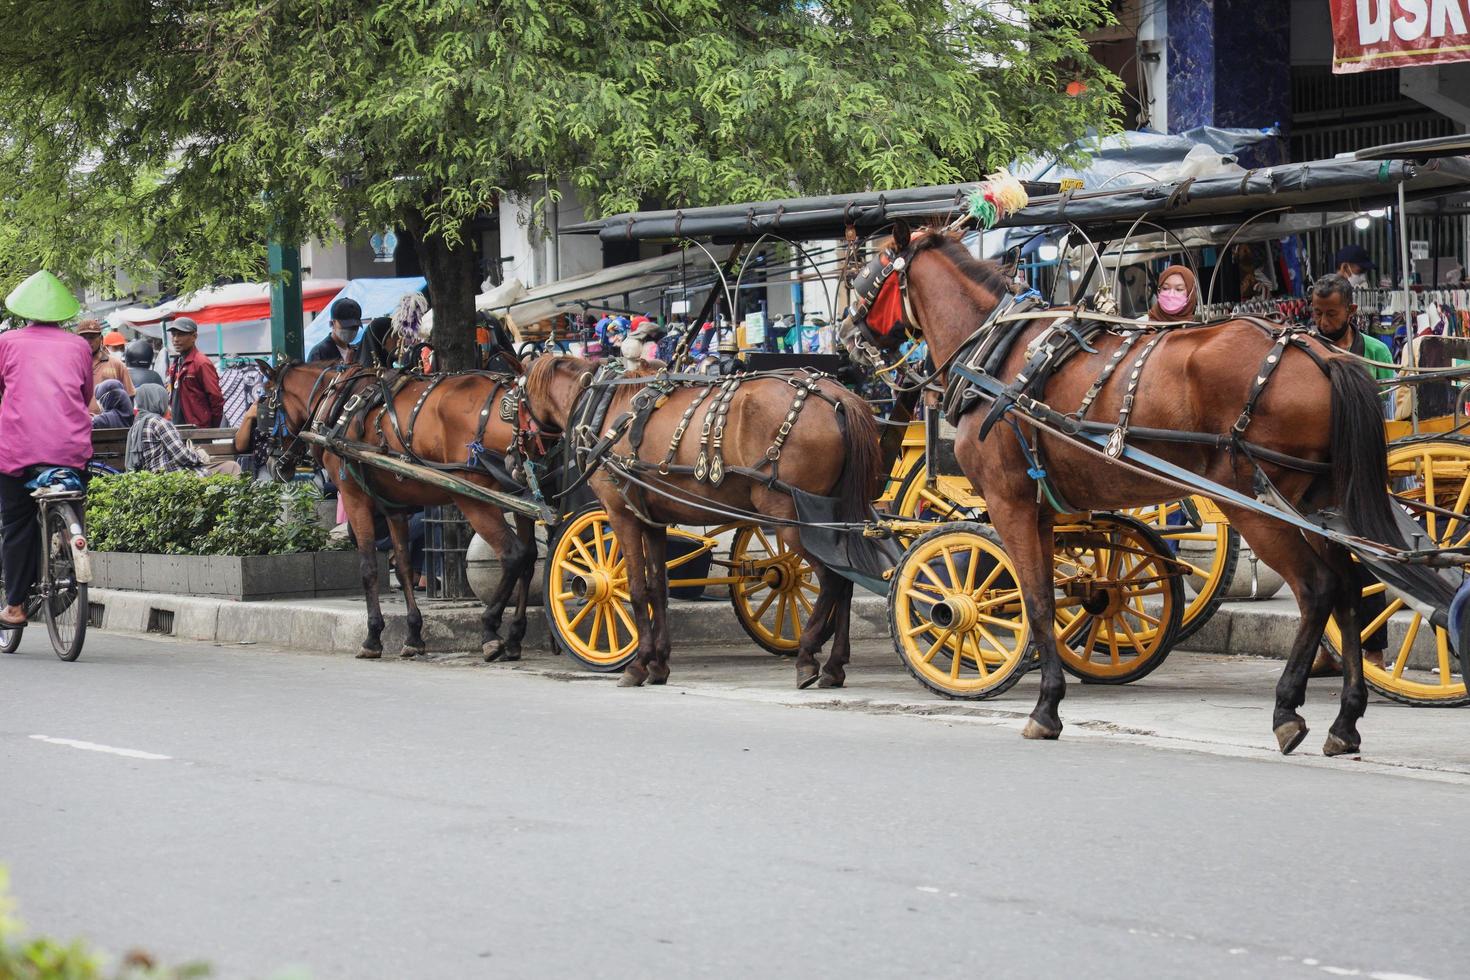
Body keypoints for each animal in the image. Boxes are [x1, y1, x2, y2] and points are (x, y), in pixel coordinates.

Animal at [255, 359, 538, 658]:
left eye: (264, 402)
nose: (273, 465)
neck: (338, 404)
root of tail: (513, 399)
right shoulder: (395, 507)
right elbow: (403, 566)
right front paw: (413, 634)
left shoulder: (354, 498)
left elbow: (368, 568)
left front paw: (372, 636)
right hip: (521, 498)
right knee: (530, 558)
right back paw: (515, 635)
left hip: (476, 499)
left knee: (513, 554)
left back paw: (490, 629)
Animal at [523, 357, 876, 687]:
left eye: (516, 398)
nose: (518, 458)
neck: (609, 407)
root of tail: (839, 397)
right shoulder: (652, 521)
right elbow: (657, 587)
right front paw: (658, 664)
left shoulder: (620, 514)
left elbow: (634, 588)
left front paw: (638, 665)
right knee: (846, 581)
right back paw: (834, 666)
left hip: (790, 517)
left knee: (832, 579)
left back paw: (807, 655)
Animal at [846, 226, 1452, 758]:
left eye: (868, 274)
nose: (849, 338)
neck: (1000, 353)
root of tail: (1320, 353)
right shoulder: (1045, 510)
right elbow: (1067, 593)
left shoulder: (1008, 502)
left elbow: (1034, 599)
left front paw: (1045, 708)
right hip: (1318, 502)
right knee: (1350, 589)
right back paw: (1346, 721)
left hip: (1255, 502)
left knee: (1318, 588)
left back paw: (1287, 711)